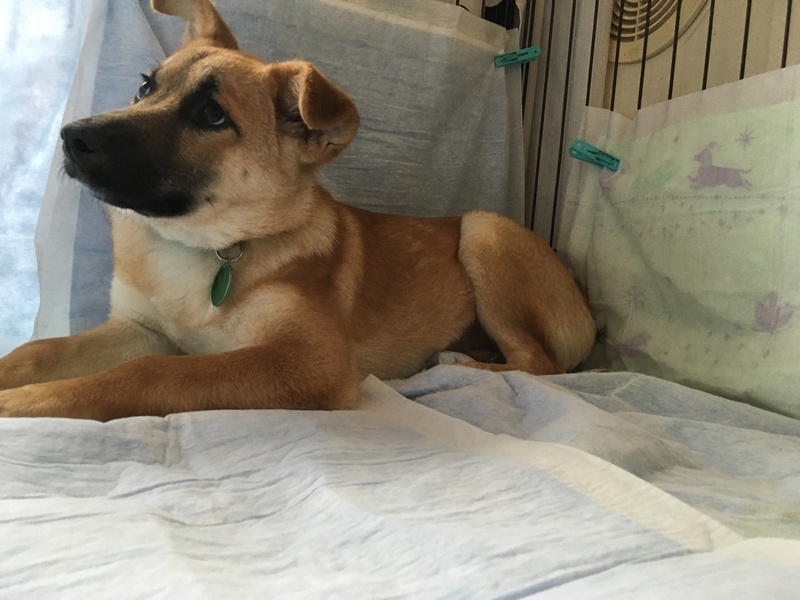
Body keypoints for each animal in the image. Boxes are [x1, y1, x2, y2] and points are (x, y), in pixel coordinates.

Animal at [0, 0, 595, 420]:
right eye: (146, 86)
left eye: (211, 114)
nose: (71, 137)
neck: (210, 246)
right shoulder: (139, 328)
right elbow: (36, 353)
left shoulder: (307, 363)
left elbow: (148, 375)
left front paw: (25, 404)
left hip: (484, 230)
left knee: (541, 366)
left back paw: (459, 363)